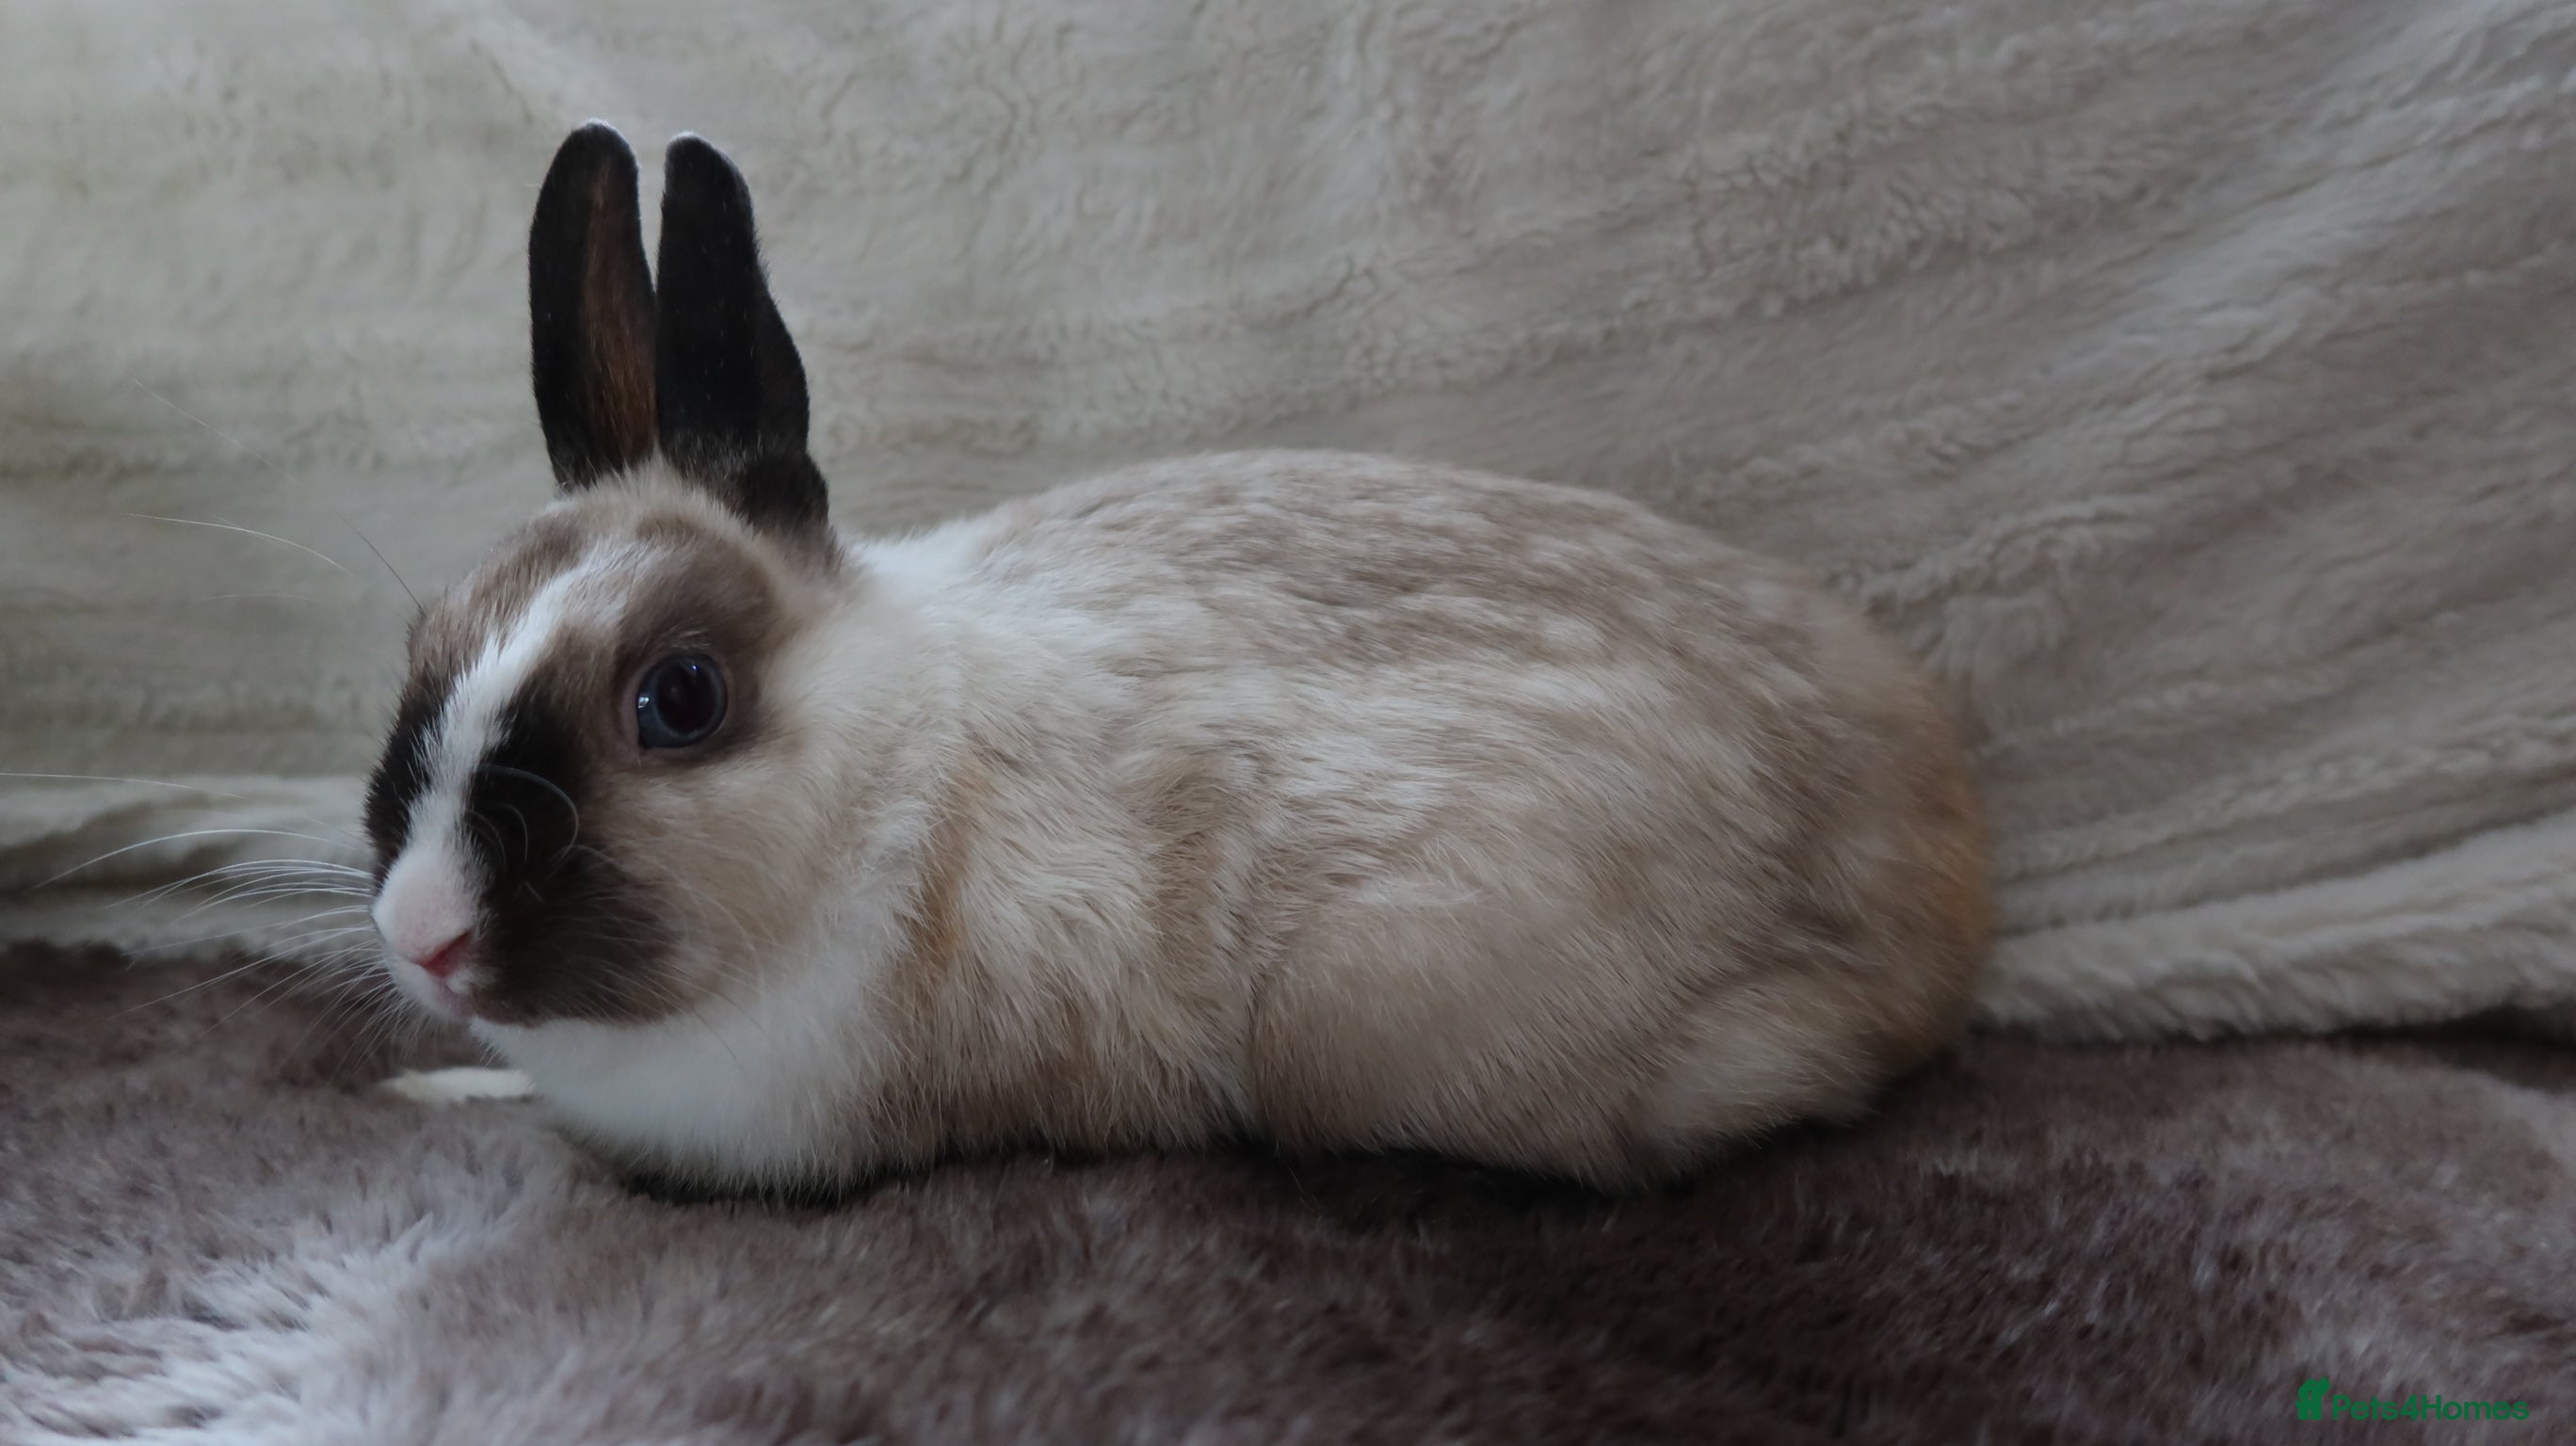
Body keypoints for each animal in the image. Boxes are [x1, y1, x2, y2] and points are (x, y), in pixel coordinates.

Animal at [363, 122, 1991, 1193]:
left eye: (679, 699)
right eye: (423, 637)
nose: (421, 931)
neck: (884, 786)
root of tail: (1937, 863)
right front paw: (430, 1078)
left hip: (1360, 1019)